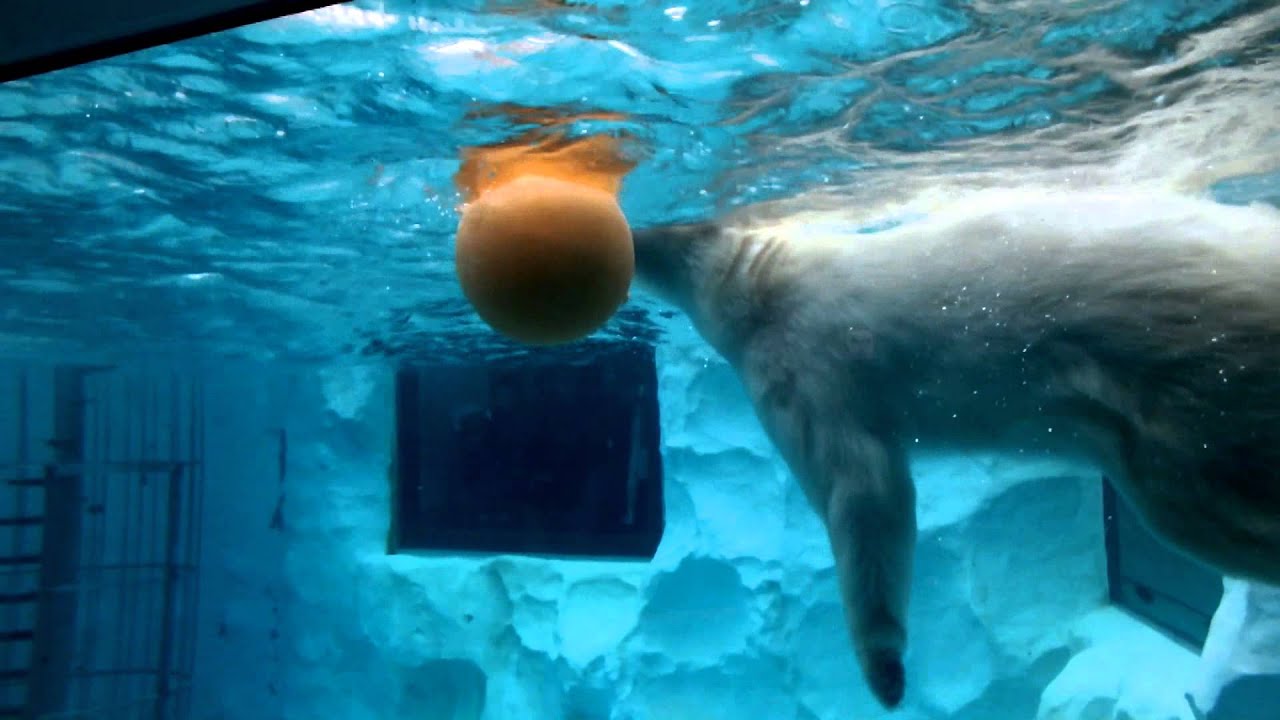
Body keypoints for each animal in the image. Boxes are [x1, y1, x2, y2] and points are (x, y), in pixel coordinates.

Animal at [629, 186, 1280, 709]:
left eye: (670, 233)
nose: (635, 230)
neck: (772, 276)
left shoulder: (806, 366)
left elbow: (864, 493)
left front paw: (884, 669)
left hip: (1193, 371)